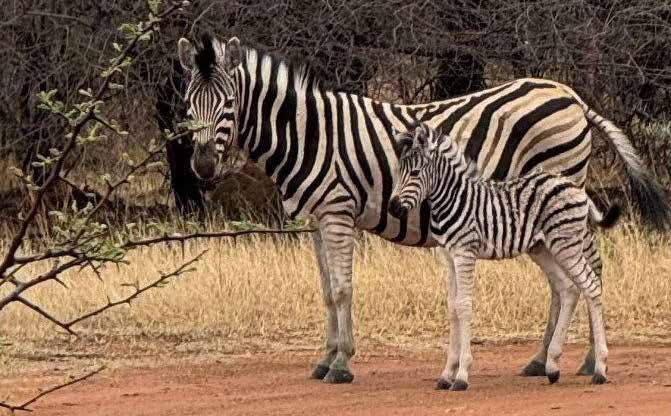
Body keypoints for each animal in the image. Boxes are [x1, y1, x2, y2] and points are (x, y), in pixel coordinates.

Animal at [388, 123, 619, 390]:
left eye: (415, 173)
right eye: (399, 171)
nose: (392, 207)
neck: (453, 199)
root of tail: (575, 187)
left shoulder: (465, 253)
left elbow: (464, 306)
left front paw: (462, 375)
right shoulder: (450, 257)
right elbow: (452, 308)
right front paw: (446, 374)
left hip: (567, 243)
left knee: (590, 285)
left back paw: (600, 369)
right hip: (543, 248)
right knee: (569, 288)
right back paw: (552, 366)